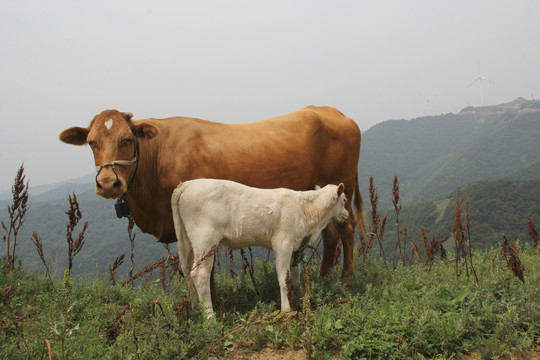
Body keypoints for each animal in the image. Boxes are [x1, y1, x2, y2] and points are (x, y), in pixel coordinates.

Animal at [58, 107, 368, 282]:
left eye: (127, 139)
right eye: (91, 142)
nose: (108, 183)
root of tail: (335, 112)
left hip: (342, 187)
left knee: (347, 229)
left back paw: (347, 279)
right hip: (322, 196)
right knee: (331, 234)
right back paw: (324, 278)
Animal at [173, 179, 350, 316]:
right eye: (344, 200)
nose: (347, 215)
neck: (305, 210)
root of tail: (187, 184)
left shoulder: (295, 247)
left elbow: (294, 274)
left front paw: (299, 298)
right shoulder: (283, 243)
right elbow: (283, 277)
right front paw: (286, 309)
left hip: (187, 241)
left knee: (187, 270)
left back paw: (196, 309)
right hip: (205, 240)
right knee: (200, 274)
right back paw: (210, 318)